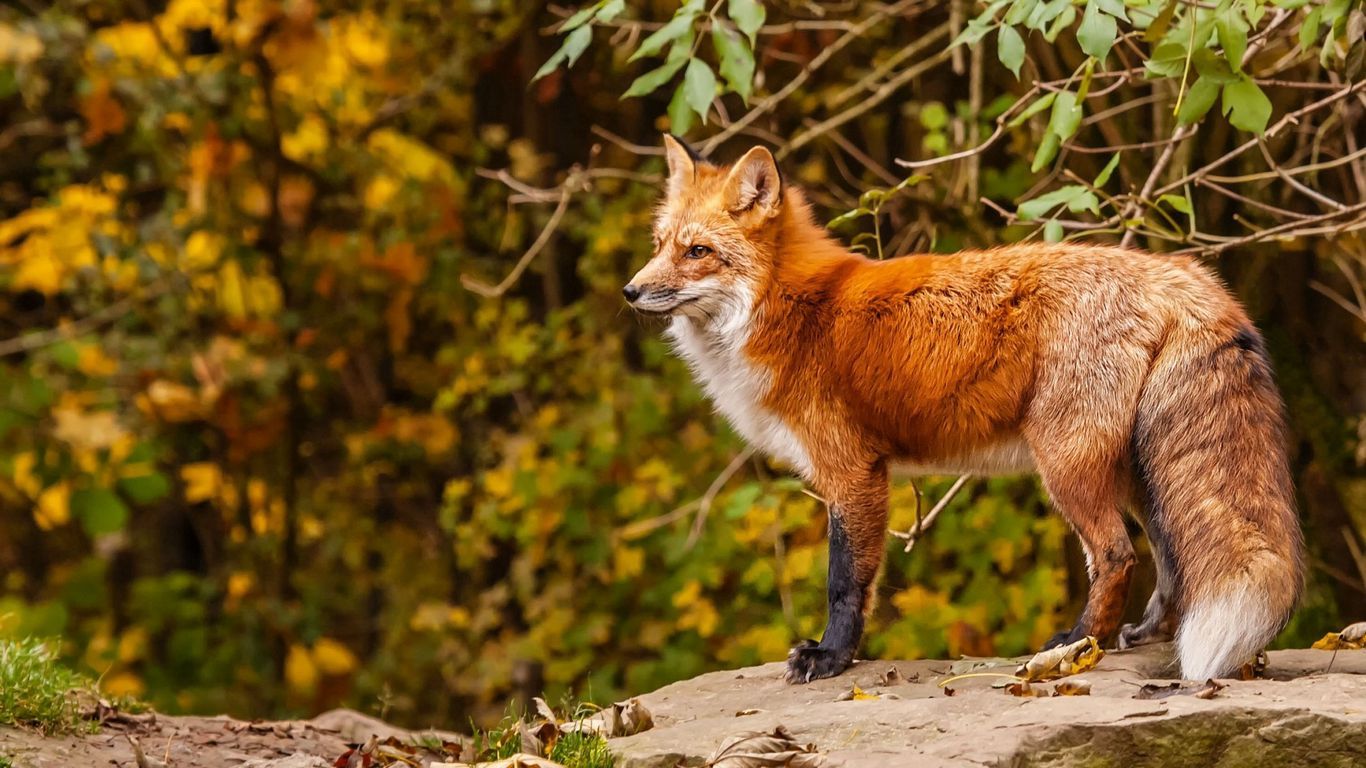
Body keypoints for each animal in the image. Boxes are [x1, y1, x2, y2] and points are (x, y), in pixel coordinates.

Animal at [623, 135, 1305, 684]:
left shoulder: (853, 472)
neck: (787, 309)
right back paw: (1139, 636)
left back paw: (1078, 645)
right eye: (658, 244)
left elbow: (846, 582)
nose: (630, 290)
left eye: (697, 252)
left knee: (1118, 555)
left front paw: (831, 658)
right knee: (1169, 559)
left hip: (1067, 464)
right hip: (1140, 469)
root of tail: (1181, 273)